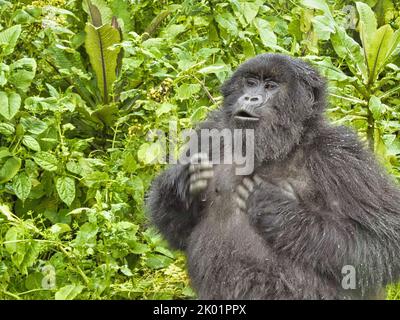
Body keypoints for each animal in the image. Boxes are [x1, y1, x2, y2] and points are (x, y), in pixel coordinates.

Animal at [146, 53, 400, 298]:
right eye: (250, 83)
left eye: (270, 86)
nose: (251, 98)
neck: (284, 144)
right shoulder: (211, 131)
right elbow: (178, 230)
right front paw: (182, 184)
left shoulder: (342, 156)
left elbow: (385, 241)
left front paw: (277, 209)